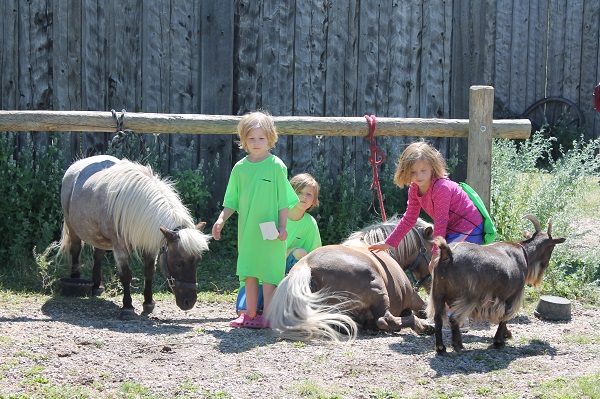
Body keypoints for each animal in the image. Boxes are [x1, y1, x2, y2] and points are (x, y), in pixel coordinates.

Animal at [426, 216, 568, 354]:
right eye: (551, 246)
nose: (546, 265)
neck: (524, 253)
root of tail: (448, 254)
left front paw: (506, 335)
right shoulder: (512, 296)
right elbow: (505, 317)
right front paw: (499, 342)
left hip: (437, 294)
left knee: (438, 319)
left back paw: (441, 348)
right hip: (466, 297)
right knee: (454, 318)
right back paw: (458, 345)